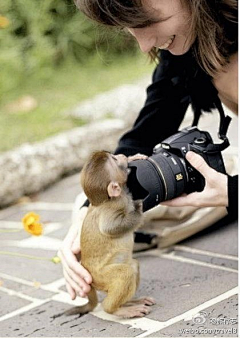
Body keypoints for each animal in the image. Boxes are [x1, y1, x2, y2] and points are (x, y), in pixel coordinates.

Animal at [67, 152, 157, 318]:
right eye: (114, 160)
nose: (121, 155)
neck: (105, 200)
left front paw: (134, 158)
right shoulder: (114, 205)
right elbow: (110, 228)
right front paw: (138, 208)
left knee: (133, 266)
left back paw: (128, 303)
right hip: (101, 276)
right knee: (125, 273)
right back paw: (115, 309)